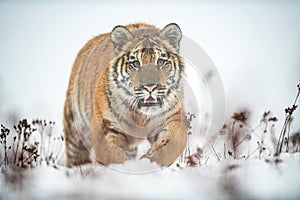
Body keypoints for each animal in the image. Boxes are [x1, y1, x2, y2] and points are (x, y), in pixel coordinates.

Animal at [63, 23, 188, 167]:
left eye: (161, 62)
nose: (150, 86)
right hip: (74, 126)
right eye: (136, 64)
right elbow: (113, 156)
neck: (141, 115)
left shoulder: (172, 118)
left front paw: (147, 162)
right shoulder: (107, 126)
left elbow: (171, 146)